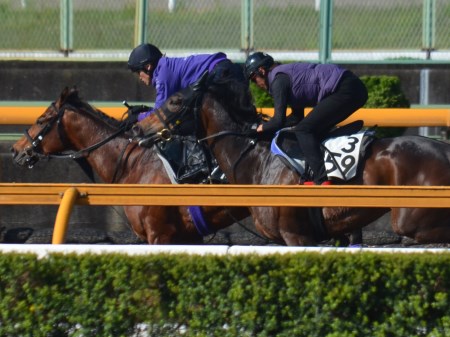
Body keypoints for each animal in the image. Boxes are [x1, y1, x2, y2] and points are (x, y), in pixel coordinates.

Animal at [136, 77, 450, 244]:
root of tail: (444, 150)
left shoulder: (296, 235)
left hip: (412, 221)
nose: (139, 128)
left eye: (175, 100)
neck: (256, 160)